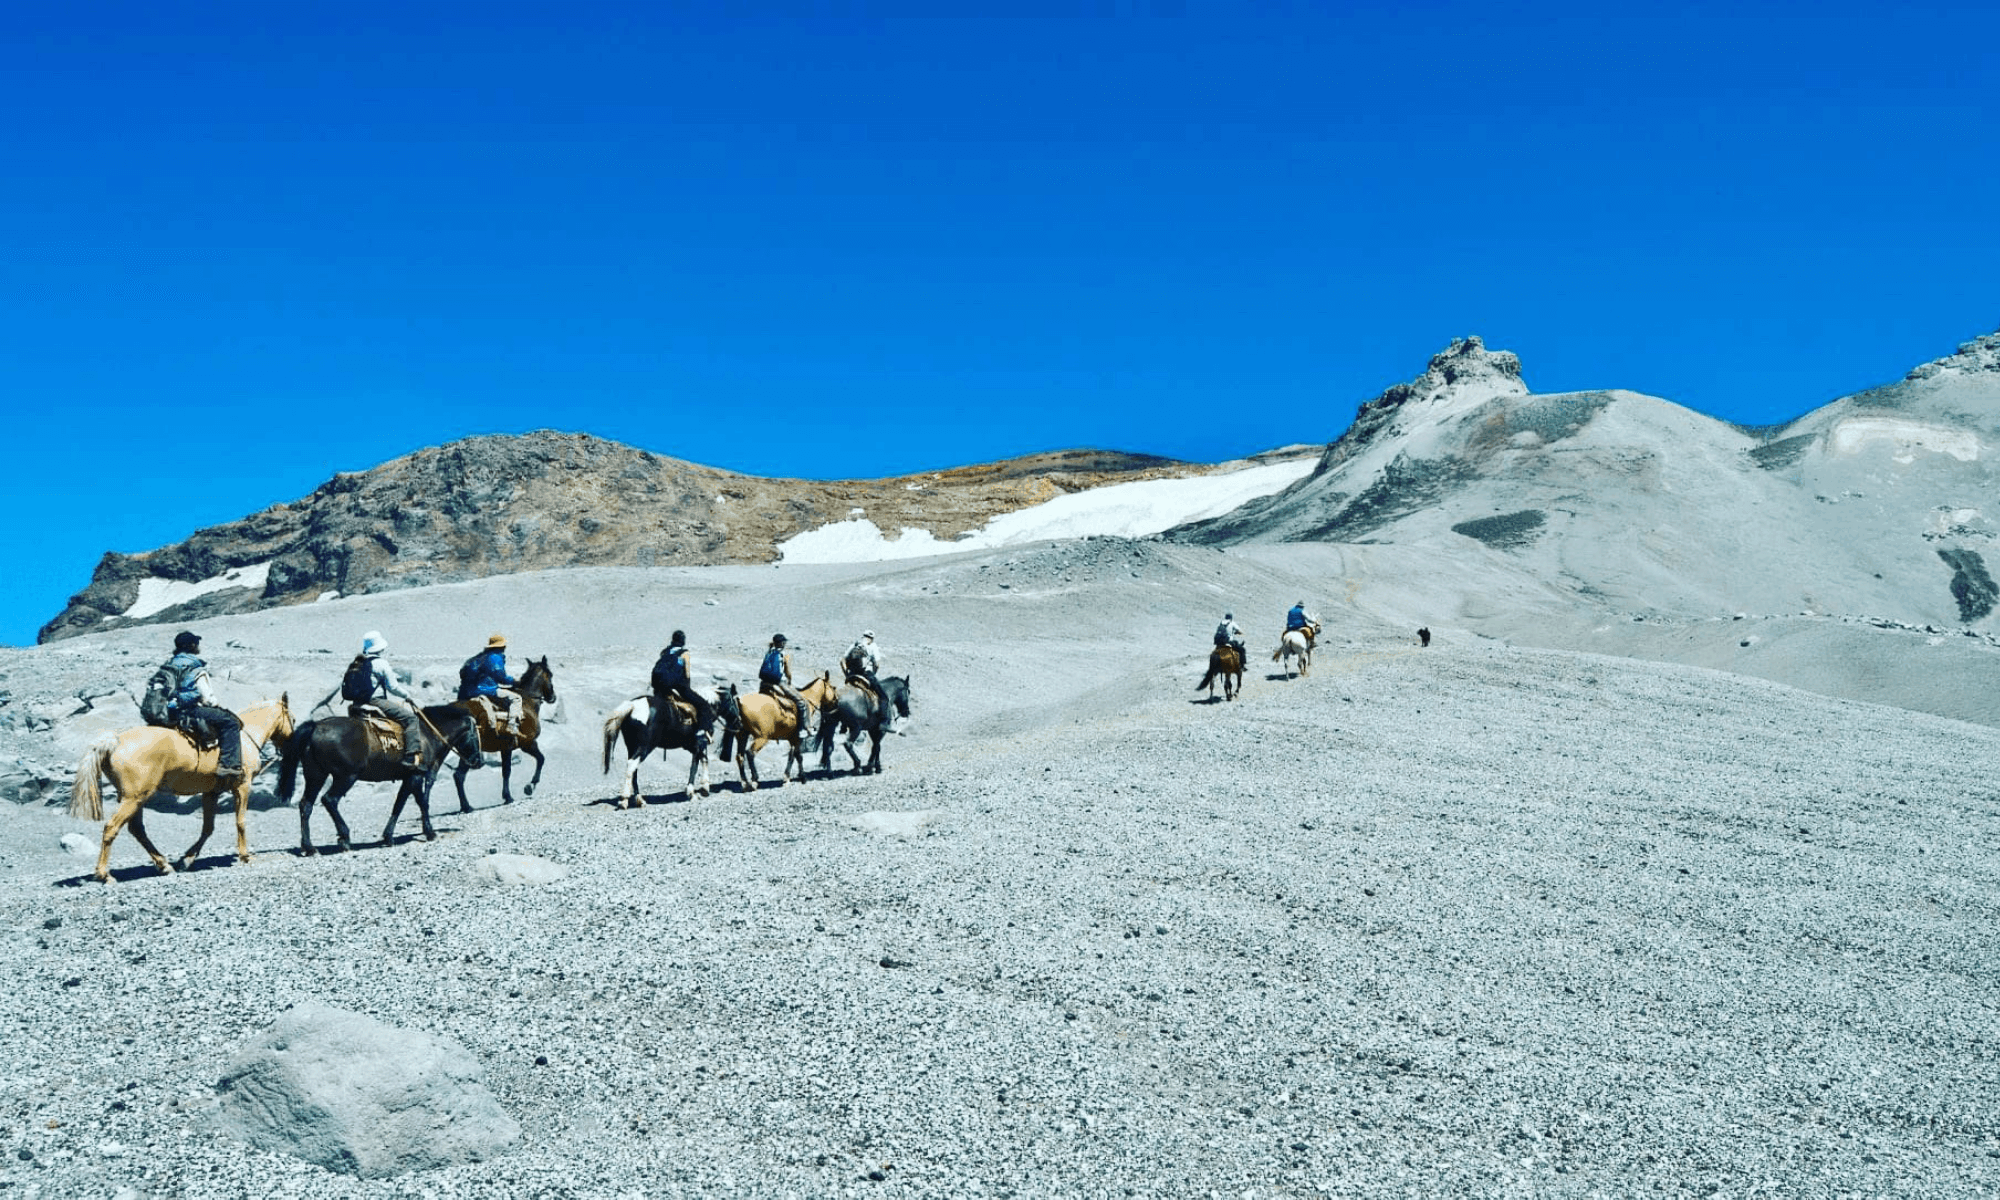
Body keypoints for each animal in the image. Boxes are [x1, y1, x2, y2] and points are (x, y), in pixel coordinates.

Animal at [68, 700, 296, 884]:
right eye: (292, 719)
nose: (291, 746)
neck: (246, 738)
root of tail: (114, 741)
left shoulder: (211, 793)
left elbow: (207, 828)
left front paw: (186, 860)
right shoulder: (243, 786)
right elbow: (240, 822)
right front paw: (245, 856)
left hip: (134, 797)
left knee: (137, 829)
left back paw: (164, 865)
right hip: (134, 798)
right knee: (111, 828)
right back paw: (104, 875)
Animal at [276, 704, 482, 852]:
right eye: (476, 737)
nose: (479, 761)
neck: (427, 733)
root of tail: (316, 726)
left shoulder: (408, 779)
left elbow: (399, 804)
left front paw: (388, 836)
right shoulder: (415, 776)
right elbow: (422, 802)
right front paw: (429, 832)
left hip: (316, 776)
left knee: (306, 805)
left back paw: (309, 847)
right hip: (346, 777)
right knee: (329, 799)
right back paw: (344, 838)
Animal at [448, 652, 556, 812]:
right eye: (550, 674)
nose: (553, 697)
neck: (526, 701)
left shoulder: (507, 748)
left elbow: (506, 771)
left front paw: (509, 795)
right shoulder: (527, 743)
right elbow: (539, 760)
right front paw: (527, 787)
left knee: (458, 776)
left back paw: (466, 806)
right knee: (459, 775)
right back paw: (467, 806)